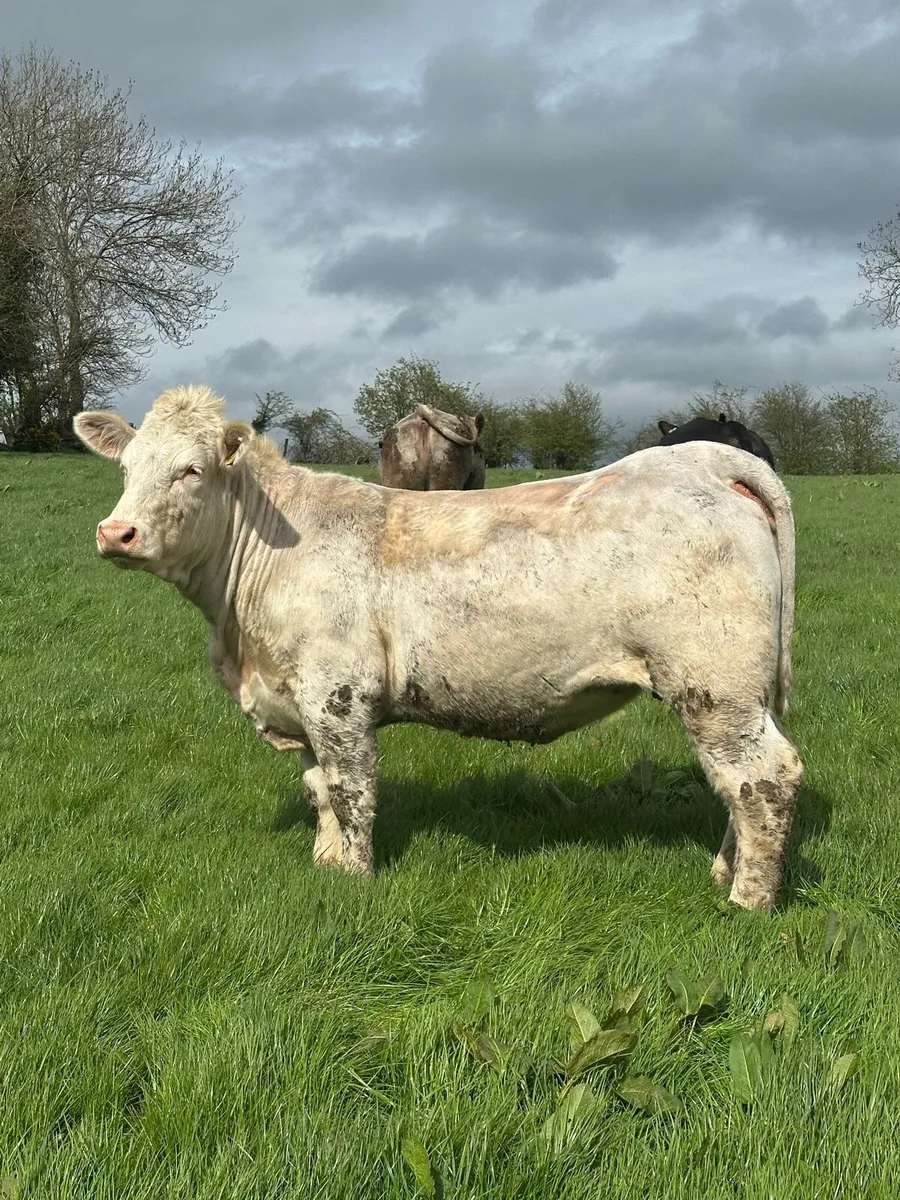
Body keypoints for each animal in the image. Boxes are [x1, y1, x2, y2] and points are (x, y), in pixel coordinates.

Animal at [74, 385, 803, 910]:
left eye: (190, 470)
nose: (115, 533)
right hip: (732, 693)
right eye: (127, 468)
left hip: (713, 681)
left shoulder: (338, 696)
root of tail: (708, 458)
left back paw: (748, 902)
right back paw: (723, 872)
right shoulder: (298, 702)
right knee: (738, 783)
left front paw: (355, 879)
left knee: (765, 777)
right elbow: (318, 789)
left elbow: (350, 790)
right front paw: (324, 867)